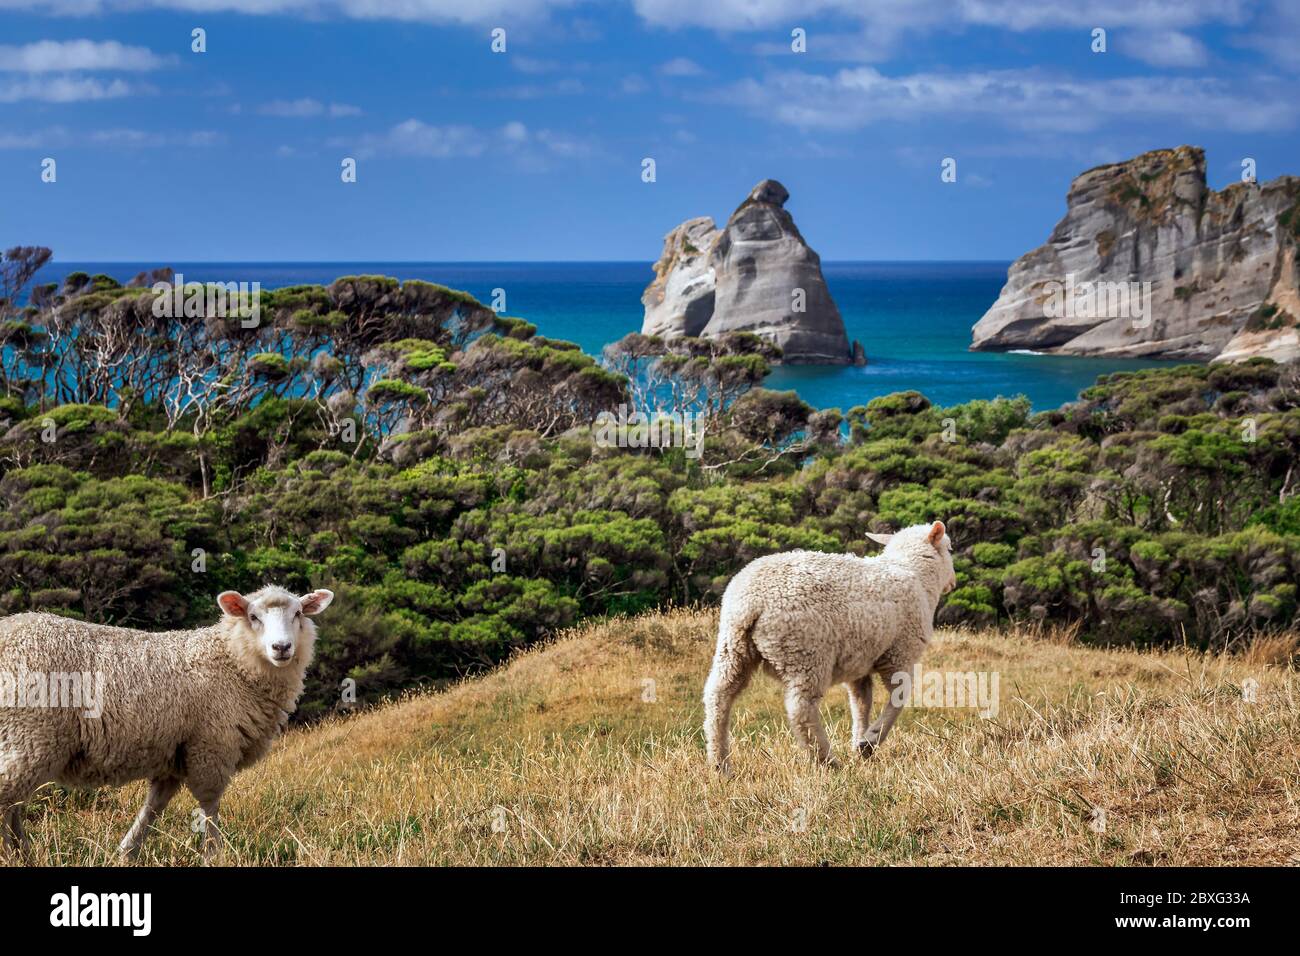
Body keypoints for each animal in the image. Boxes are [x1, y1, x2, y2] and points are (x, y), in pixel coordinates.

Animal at [0, 585, 333, 861]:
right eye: (253, 616)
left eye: (298, 613)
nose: (282, 647)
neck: (232, 660)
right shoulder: (211, 745)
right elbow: (210, 806)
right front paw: (214, 854)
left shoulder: (173, 755)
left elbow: (154, 806)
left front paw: (127, 852)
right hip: (29, 735)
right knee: (7, 798)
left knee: (13, 805)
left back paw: (22, 854)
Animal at [703, 521, 956, 772]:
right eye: (950, 548)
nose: (953, 582)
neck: (915, 575)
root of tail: (751, 602)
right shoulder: (901, 653)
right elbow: (899, 697)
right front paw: (871, 739)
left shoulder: (860, 664)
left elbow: (861, 703)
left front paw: (860, 745)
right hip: (807, 653)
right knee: (801, 710)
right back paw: (827, 761)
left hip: (733, 648)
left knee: (718, 696)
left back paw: (720, 763)